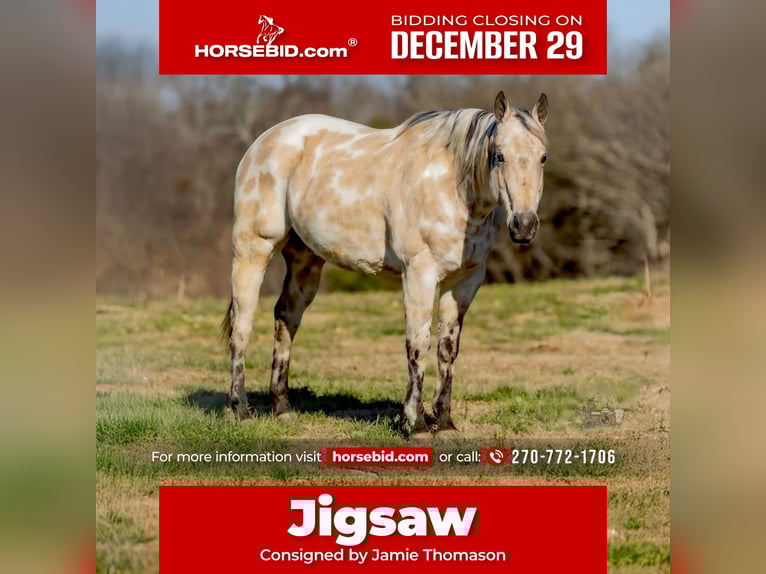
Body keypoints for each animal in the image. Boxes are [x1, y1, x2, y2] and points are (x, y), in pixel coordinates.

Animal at [221, 91, 549, 436]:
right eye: (499, 155)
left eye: (542, 157)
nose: (524, 225)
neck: (452, 188)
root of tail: (263, 142)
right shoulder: (419, 274)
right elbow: (418, 344)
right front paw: (415, 424)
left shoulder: (465, 280)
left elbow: (447, 348)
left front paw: (445, 423)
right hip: (253, 250)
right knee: (242, 324)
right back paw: (239, 409)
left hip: (305, 260)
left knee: (286, 318)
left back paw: (282, 409)